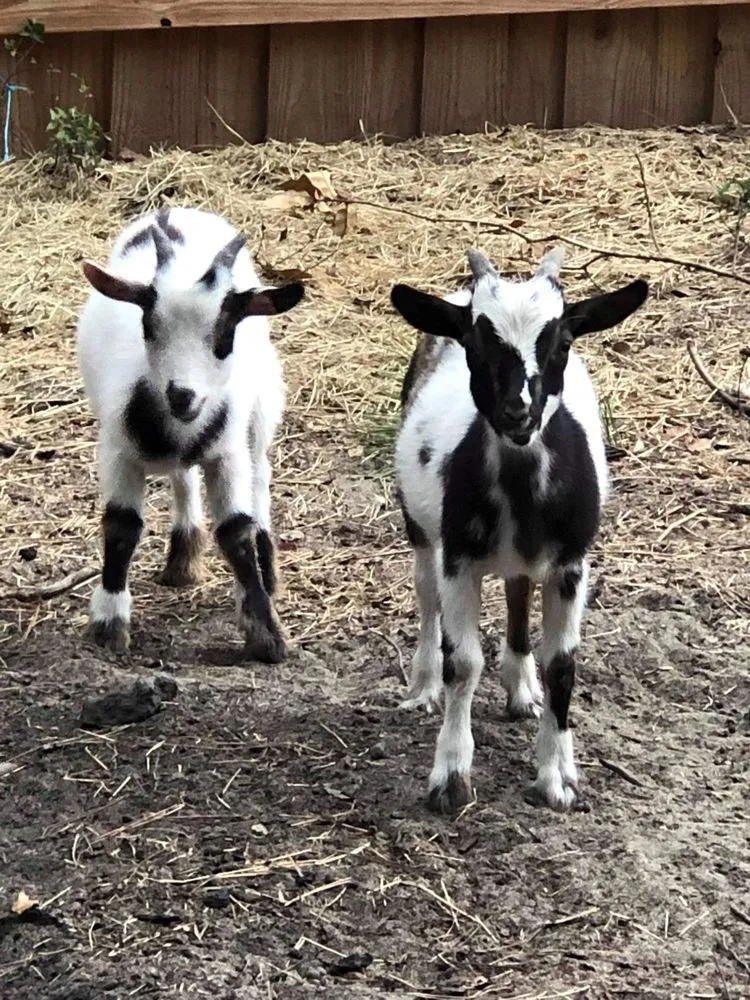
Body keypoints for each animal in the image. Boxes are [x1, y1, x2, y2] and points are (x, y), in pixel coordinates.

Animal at [77, 207, 304, 662]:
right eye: (148, 324)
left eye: (226, 327)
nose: (182, 395)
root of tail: (178, 211)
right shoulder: (116, 450)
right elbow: (121, 526)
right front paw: (109, 622)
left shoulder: (228, 453)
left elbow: (236, 531)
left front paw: (265, 632)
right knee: (183, 477)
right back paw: (182, 556)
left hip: (262, 406)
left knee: (260, 477)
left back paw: (267, 568)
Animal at [390, 248, 647, 813]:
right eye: (474, 341)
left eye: (563, 341)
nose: (518, 412)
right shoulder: (458, 557)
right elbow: (462, 662)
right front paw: (451, 778)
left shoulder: (571, 563)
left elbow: (563, 666)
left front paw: (557, 779)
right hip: (421, 528)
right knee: (426, 596)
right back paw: (423, 687)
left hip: (526, 560)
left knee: (517, 590)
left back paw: (522, 688)